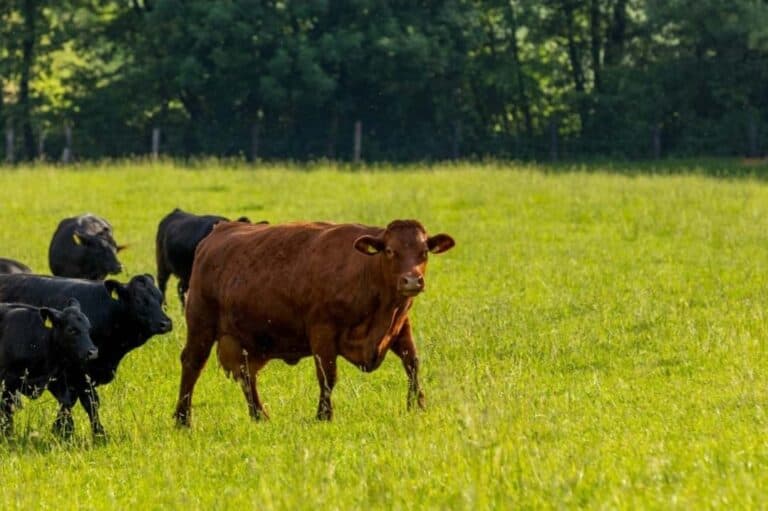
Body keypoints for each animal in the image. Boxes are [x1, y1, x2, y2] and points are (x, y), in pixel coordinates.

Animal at [0, 299, 97, 436]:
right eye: (71, 330)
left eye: (88, 328)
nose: (93, 352)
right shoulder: (9, 381)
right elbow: (7, 412)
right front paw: (8, 436)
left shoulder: (55, 377)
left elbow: (66, 402)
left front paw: (64, 432)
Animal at [173, 219, 455, 426]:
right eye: (389, 251)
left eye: (423, 252)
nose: (411, 280)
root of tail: (219, 231)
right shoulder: (322, 332)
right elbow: (328, 376)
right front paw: (324, 415)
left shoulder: (399, 326)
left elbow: (412, 363)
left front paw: (417, 405)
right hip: (201, 325)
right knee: (192, 364)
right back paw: (183, 418)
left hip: (246, 340)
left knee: (246, 374)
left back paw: (259, 415)